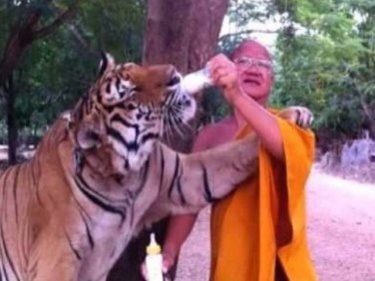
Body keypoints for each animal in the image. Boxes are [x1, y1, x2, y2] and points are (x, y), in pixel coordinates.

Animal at [0, 53, 312, 280]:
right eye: (129, 93)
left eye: (135, 67)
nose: (175, 75)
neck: (123, 176)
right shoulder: (55, 260)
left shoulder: (185, 177)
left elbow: (237, 150)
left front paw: (293, 115)